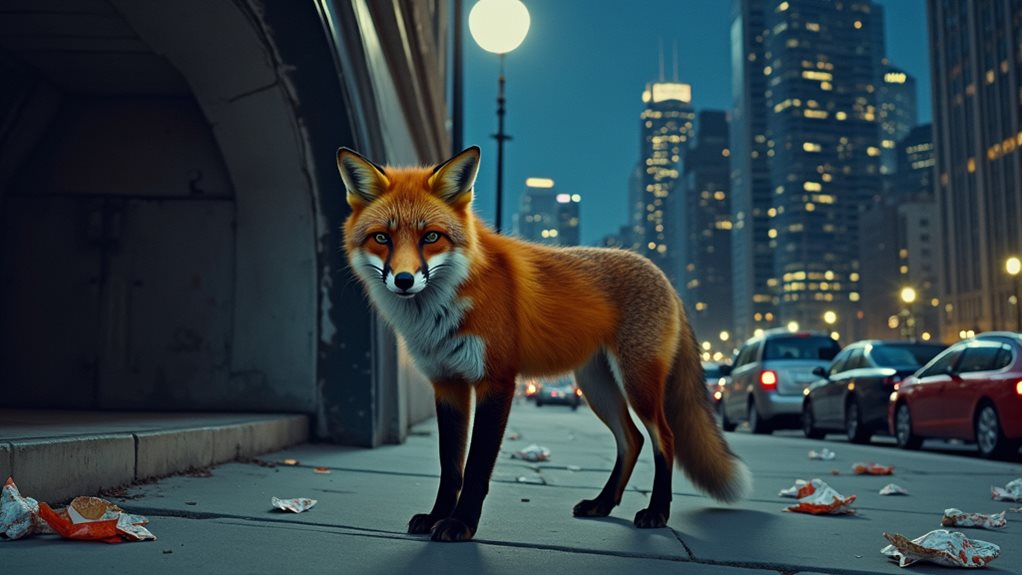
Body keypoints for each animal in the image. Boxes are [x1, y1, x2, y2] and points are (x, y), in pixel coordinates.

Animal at [337, 145, 751, 543]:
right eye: (382, 238)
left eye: (431, 237)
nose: (404, 280)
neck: (443, 307)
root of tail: (664, 277)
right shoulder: (448, 384)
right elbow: (450, 467)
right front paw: (438, 516)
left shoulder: (496, 382)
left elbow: (476, 469)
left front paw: (461, 525)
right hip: (598, 388)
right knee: (632, 440)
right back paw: (603, 504)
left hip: (638, 385)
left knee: (664, 438)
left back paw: (656, 513)